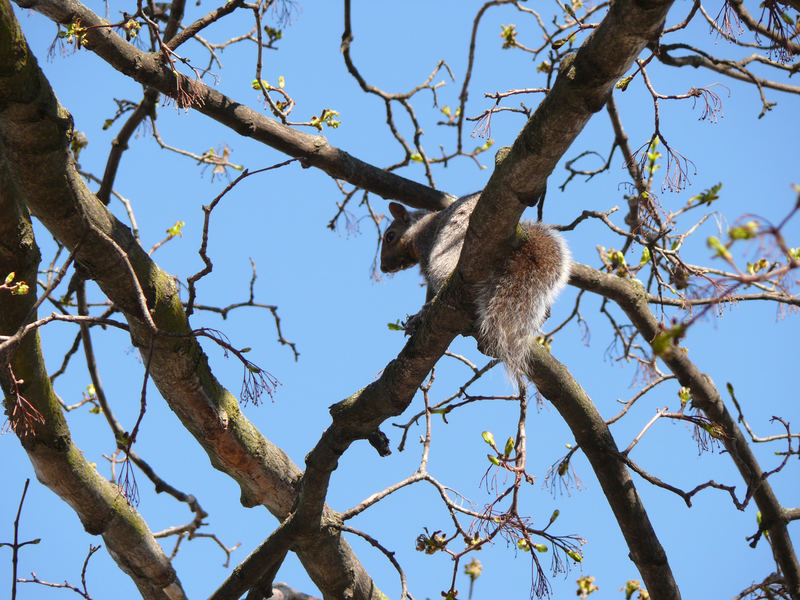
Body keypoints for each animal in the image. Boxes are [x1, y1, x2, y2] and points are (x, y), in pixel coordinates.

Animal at [380, 191, 572, 380]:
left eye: (390, 236)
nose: (383, 267)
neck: (418, 228)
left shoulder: (425, 243)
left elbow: (431, 291)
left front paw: (419, 315)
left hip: (450, 245)